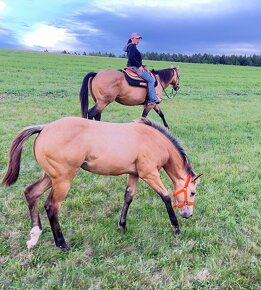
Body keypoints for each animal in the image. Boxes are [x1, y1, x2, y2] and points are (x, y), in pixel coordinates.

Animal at [2, 116, 200, 250]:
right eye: (193, 192)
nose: (188, 214)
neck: (154, 140)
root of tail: (44, 128)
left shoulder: (134, 174)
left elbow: (128, 197)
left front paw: (122, 225)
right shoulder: (149, 174)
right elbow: (165, 196)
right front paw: (176, 228)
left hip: (50, 177)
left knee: (30, 192)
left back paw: (34, 237)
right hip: (63, 179)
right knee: (51, 206)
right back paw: (62, 244)